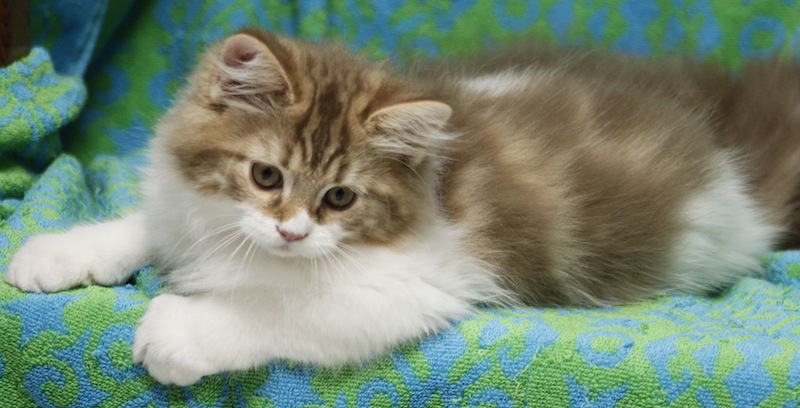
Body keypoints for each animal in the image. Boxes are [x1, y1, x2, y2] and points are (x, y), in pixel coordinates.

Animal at [6, 29, 800, 386]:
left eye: (340, 197)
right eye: (265, 175)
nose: (292, 231)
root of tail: (725, 150)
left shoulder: (414, 284)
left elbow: (281, 311)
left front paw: (178, 334)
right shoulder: (189, 209)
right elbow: (145, 225)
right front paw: (54, 253)